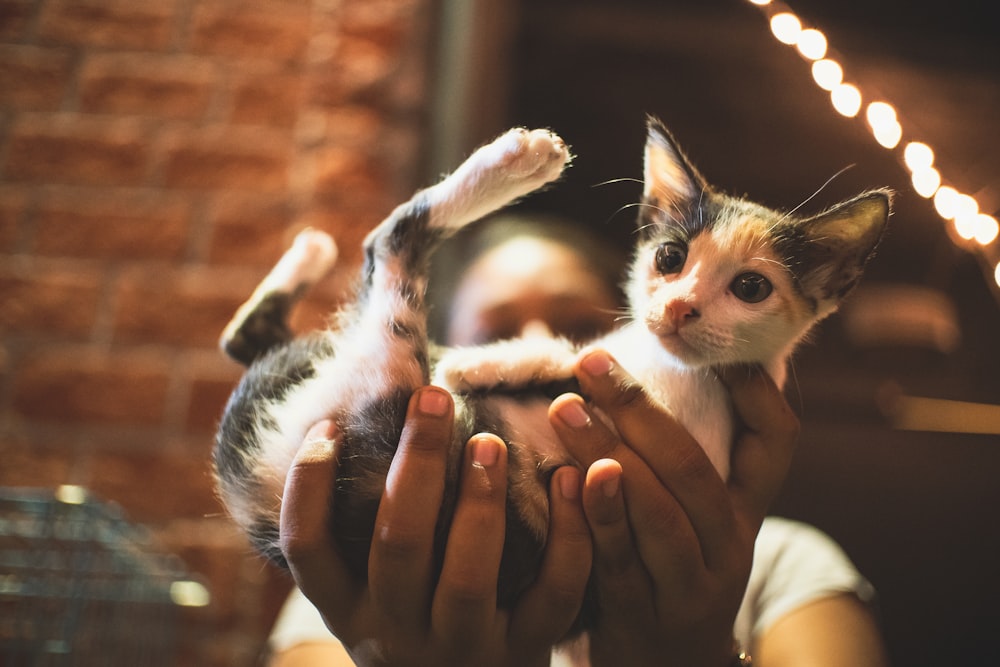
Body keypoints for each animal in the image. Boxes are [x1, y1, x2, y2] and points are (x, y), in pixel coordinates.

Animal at [213, 117, 892, 636]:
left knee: (393, 240)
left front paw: (483, 361)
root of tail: (252, 496)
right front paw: (489, 358)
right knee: (251, 331)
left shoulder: (699, 425)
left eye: (751, 288)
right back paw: (317, 250)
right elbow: (584, 355)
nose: (679, 308)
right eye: (670, 258)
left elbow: (584, 363)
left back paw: (517, 163)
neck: (669, 362)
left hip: (384, 384)